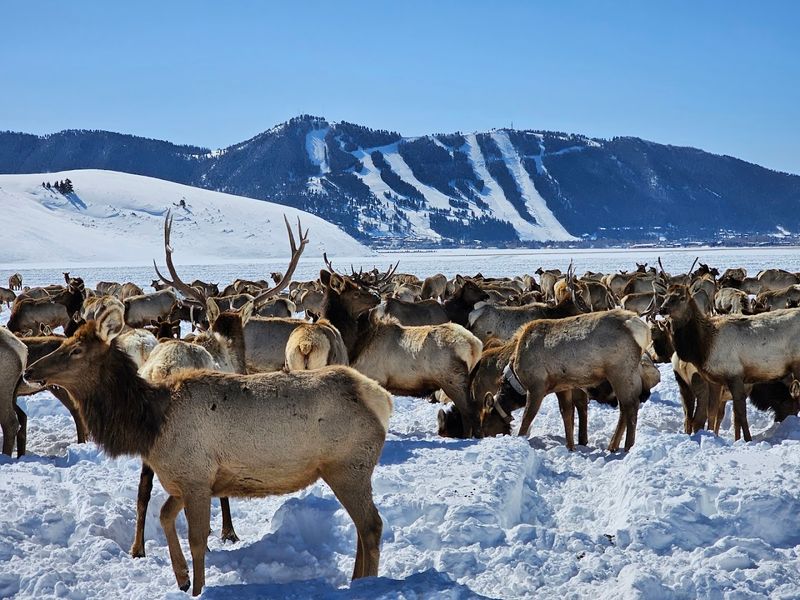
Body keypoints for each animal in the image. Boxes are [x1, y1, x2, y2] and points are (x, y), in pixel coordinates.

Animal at [23, 308, 391, 596]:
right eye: (65, 341)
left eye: (76, 349)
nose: (29, 369)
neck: (150, 425)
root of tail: (381, 398)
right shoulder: (184, 480)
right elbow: (164, 515)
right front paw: (182, 578)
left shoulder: (196, 479)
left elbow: (198, 538)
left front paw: (197, 587)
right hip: (347, 470)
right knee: (362, 528)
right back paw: (358, 581)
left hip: (347, 466)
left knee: (372, 524)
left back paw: (367, 585)